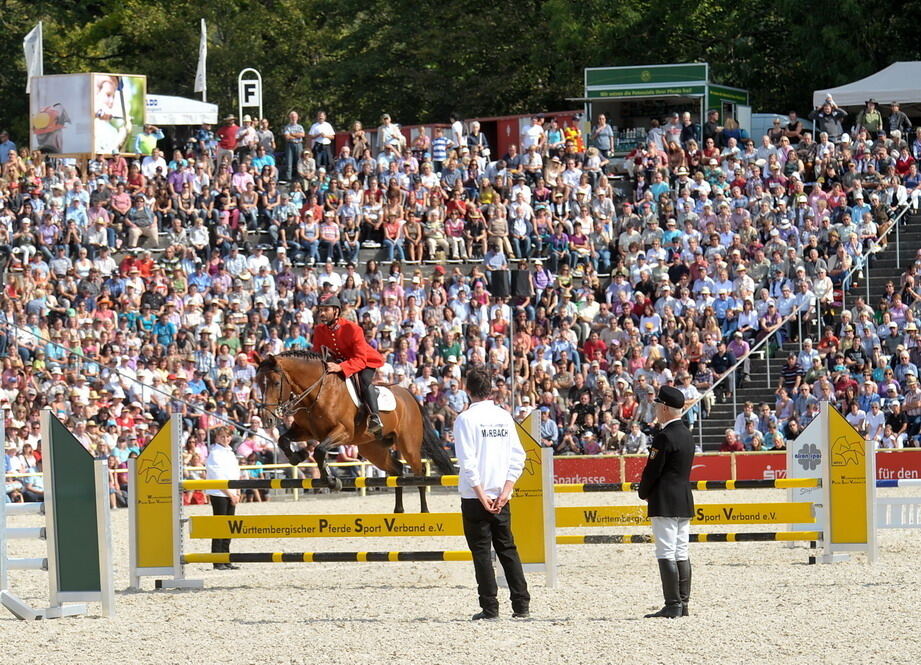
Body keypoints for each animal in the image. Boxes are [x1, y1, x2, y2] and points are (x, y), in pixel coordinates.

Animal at [253, 352, 454, 512]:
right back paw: (398, 510)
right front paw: (299, 456)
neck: (318, 392)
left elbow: (319, 451)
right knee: (397, 469)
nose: (267, 419)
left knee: (419, 473)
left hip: (408, 445)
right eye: (258, 384)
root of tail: (408, 394)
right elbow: (283, 440)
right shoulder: (305, 431)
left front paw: (332, 480)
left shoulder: (343, 432)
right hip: (372, 448)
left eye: (276, 382)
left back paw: (424, 511)